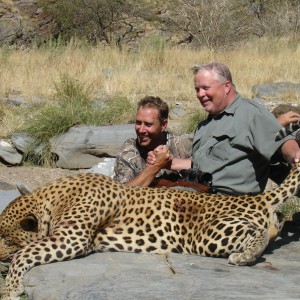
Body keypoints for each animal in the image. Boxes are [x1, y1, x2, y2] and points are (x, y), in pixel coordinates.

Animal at [0, 164, 298, 300]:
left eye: (6, 238)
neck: (53, 198)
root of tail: (255, 197)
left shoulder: (71, 237)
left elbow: (25, 253)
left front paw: (10, 289)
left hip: (208, 234)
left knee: (258, 233)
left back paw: (244, 256)